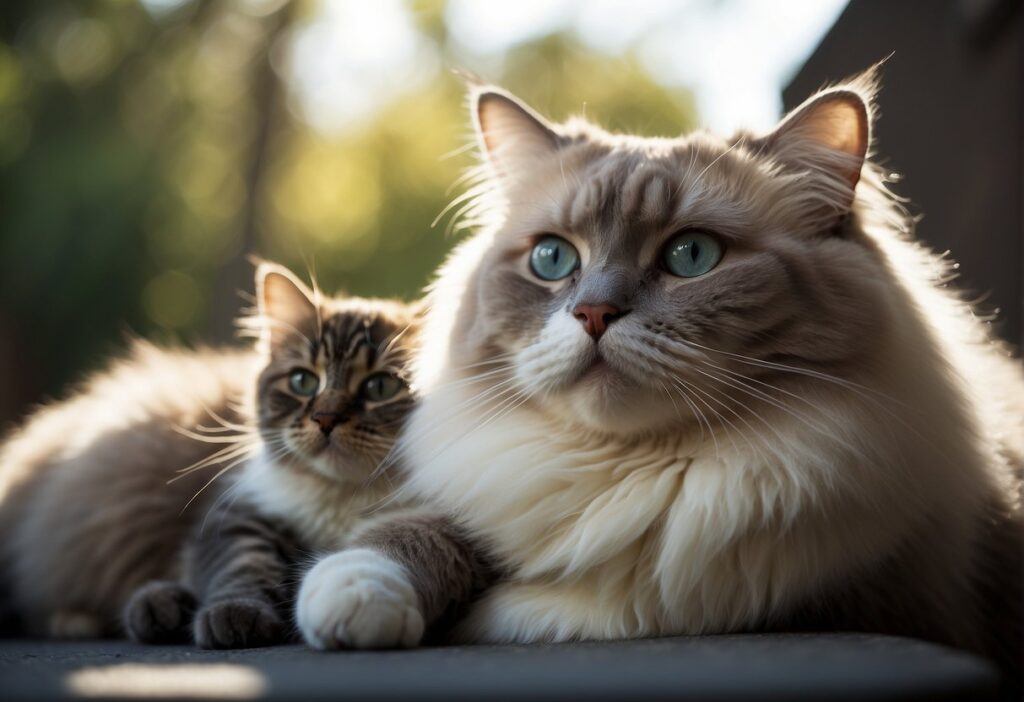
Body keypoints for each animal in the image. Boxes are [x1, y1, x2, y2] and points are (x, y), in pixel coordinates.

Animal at [0, 261, 417, 650]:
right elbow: (243, 565)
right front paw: (234, 614)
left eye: (380, 387)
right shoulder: (234, 514)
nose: (326, 418)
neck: (340, 497)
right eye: (303, 381)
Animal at [296, 72, 1024, 671]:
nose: (593, 313)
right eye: (553, 260)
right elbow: (408, 537)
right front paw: (353, 596)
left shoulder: (844, 589)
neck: (631, 477)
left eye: (691, 255)